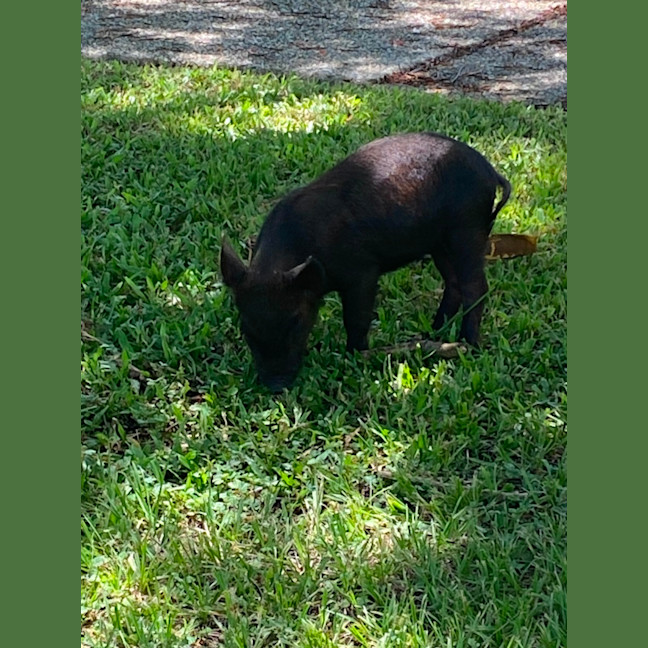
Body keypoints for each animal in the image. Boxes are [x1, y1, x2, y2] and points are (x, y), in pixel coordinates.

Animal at [220, 132, 511, 392]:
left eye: (296, 322)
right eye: (246, 328)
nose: (275, 386)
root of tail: (490, 172)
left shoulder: (363, 273)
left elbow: (356, 319)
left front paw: (355, 354)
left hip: (468, 230)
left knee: (476, 286)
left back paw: (466, 344)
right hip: (440, 242)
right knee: (453, 282)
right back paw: (435, 332)